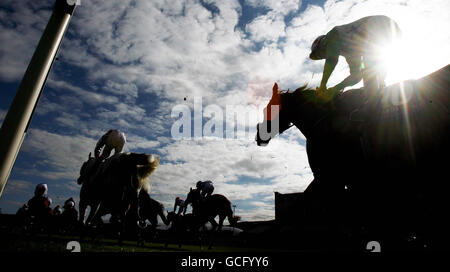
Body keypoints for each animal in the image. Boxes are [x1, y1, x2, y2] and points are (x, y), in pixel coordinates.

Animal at [255, 65, 448, 250]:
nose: (258, 136)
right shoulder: (349, 181)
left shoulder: (328, 177)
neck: (323, 119)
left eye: (268, 109)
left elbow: (301, 207)